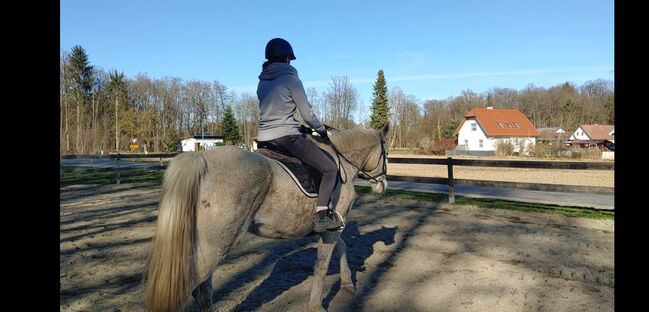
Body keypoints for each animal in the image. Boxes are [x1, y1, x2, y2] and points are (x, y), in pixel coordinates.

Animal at [144, 124, 388, 312]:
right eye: (386, 153)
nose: (383, 184)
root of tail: (200, 157)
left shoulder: (333, 226)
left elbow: (343, 248)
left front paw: (348, 284)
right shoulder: (331, 228)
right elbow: (322, 266)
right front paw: (316, 306)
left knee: (203, 291)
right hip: (213, 246)